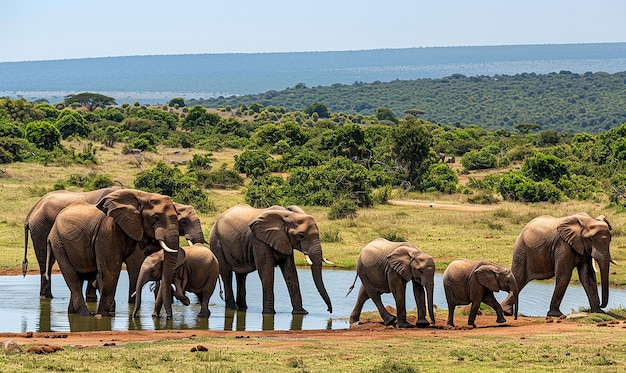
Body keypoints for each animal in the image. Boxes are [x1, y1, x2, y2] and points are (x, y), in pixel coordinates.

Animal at [43, 189, 180, 314]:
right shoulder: (108, 232)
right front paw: (104, 315)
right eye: (156, 218)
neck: (142, 196)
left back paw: (73, 313)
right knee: (72, 277)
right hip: (58, 243)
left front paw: (108, 313)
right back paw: (85, 314)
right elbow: (110, 270)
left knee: (79, 277)